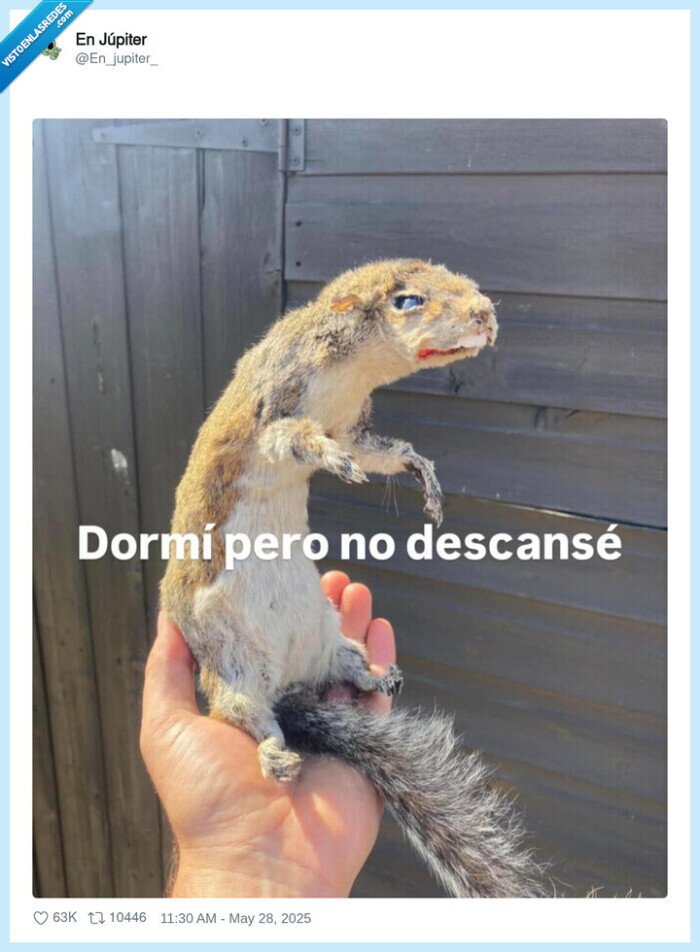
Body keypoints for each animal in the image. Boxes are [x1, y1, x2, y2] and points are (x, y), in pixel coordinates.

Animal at [160, 258, 544, 898]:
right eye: (407, 300)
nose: (486, 314)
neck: (352, 372)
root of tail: (288, 682)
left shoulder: (353, 428)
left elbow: (380, 454)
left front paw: (423, 475)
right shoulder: (273, 406)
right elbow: (293, 438)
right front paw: (327, 459)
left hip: (330, 638)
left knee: (346, 669)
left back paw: (378, 676)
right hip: (234, 673)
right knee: (249, 721)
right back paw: (276, 756)